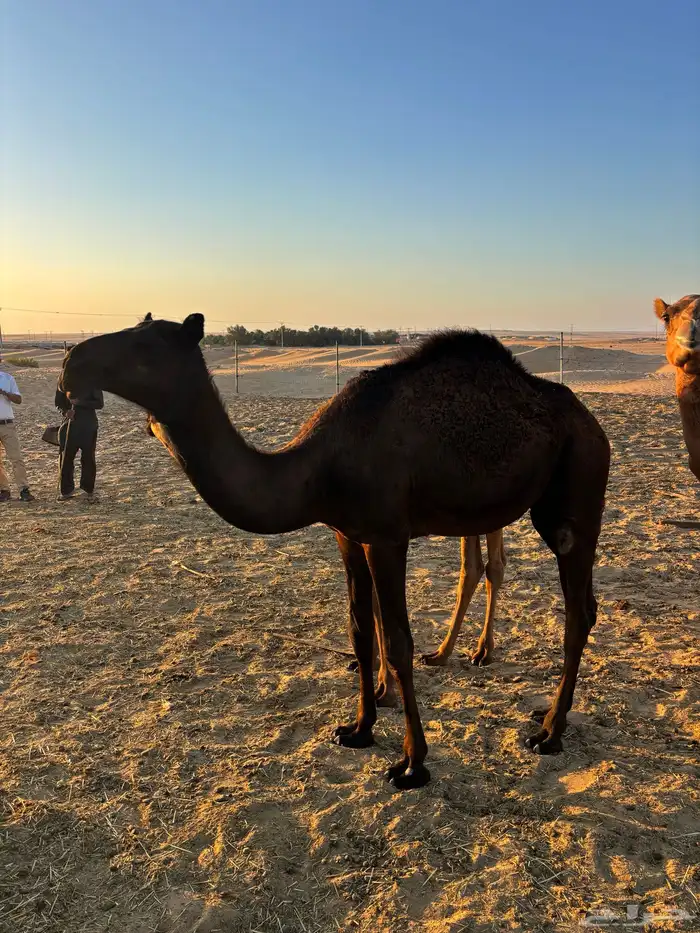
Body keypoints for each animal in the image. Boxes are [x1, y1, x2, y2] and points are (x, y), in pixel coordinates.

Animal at [62, 315, 610, 790]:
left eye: (145, 345)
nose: (71, 363)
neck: (318, 466)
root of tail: (593, 424)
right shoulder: (348, 534)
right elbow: (360, 631)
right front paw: (359, 730)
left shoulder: (387, 536)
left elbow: (400, 642)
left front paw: (412, 764)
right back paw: (536, 707)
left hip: (576, 494)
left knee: (578, 609)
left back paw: (549, 733)